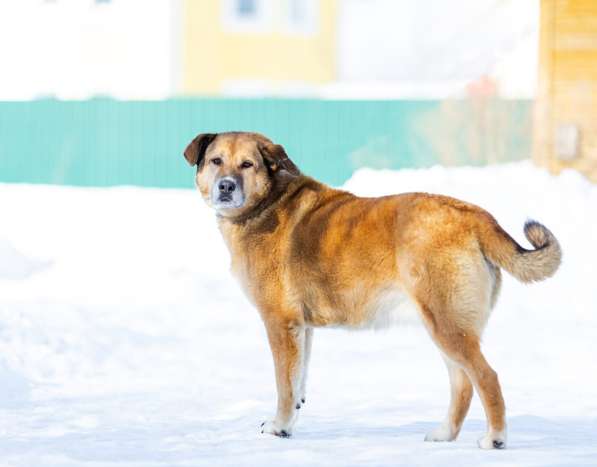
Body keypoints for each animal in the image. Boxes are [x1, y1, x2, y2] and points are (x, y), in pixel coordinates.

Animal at [184, 131, 560, 450]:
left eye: (247, 164)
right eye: (216, 160)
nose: (226, 187)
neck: (266, 204)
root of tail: (475, 216)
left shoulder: (279, 323)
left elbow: (283, 384)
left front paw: (279, 426)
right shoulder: (301, 327)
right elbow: (298, 378)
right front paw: (292, 417)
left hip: (447, 324)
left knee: (487, 378)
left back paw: (495, 438)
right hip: (446, 326)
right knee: (463, 384)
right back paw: (444, 434)